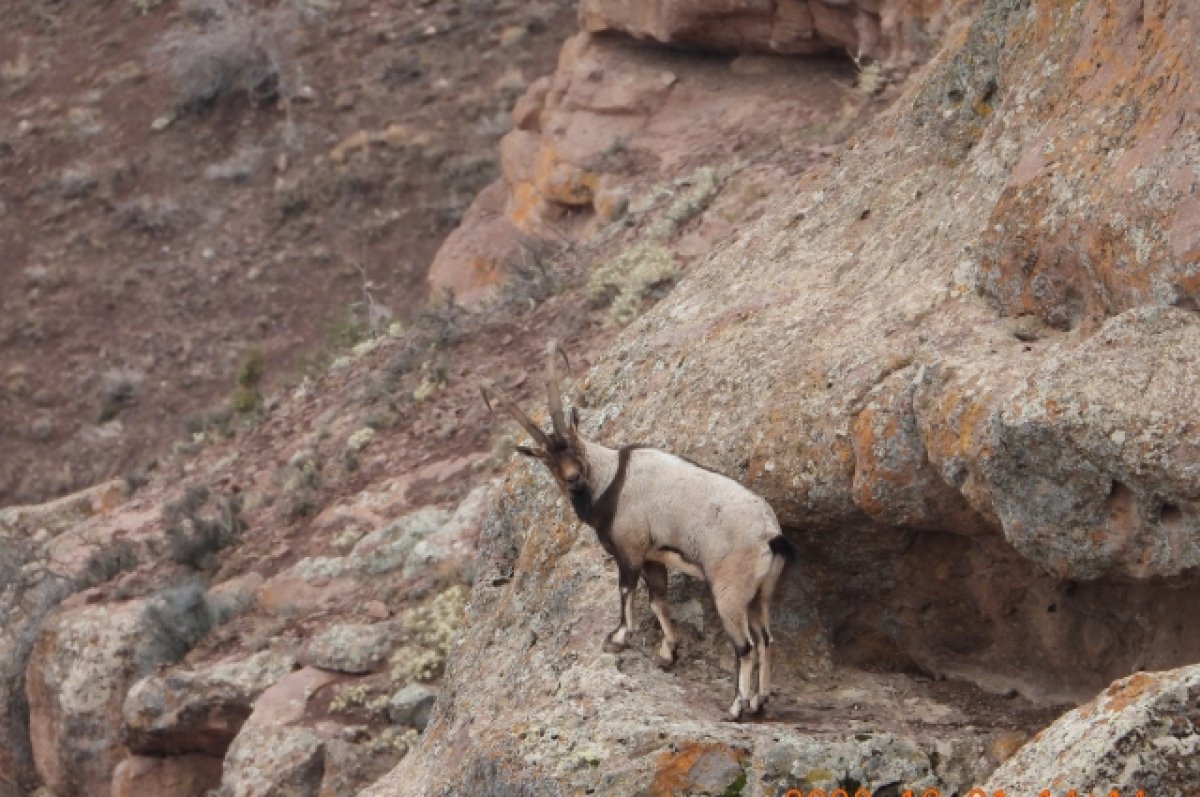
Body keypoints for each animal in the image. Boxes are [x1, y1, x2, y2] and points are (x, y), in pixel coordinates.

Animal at [477, 338, 796, 720]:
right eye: (550, 460)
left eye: (574, 443)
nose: (573, 478)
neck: (610, 479)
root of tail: (770, 534)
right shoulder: (653, 558)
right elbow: (658, 600)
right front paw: (668, 653)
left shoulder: (629, 549)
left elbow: (626, 590)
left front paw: (617, 639)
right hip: (759, 594)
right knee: (765, 639)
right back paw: (760, 702)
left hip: (729, 592)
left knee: (745, 646)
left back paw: (736, 707)